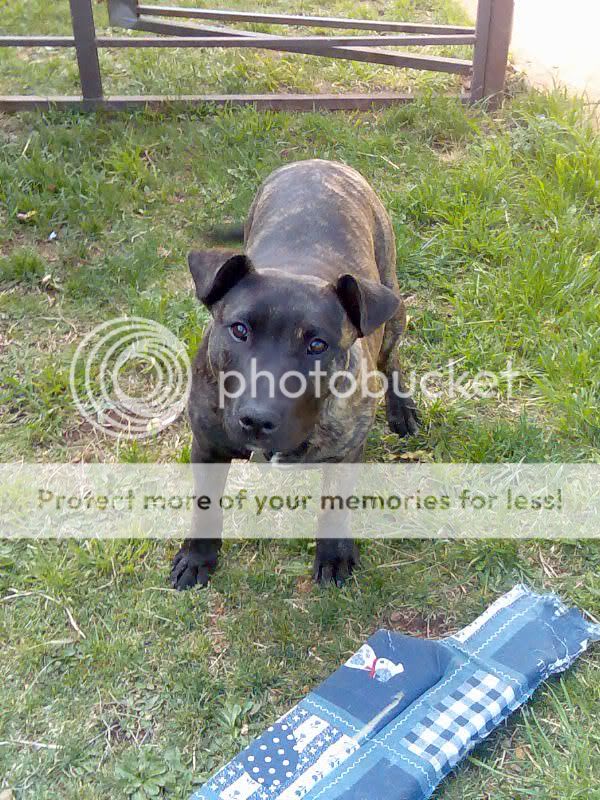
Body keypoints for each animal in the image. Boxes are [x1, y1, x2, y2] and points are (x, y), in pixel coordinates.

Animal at [171, 159, 420, 592]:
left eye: (317, 345)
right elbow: (205, 506)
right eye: (239, 330)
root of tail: (319, 162)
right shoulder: (207, 446)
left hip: (392, 306)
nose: (256, 419)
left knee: (392, 360)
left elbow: (334, 506)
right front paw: (197, 557)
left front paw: (334, 556)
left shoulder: (345, 453)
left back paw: (401, 409)